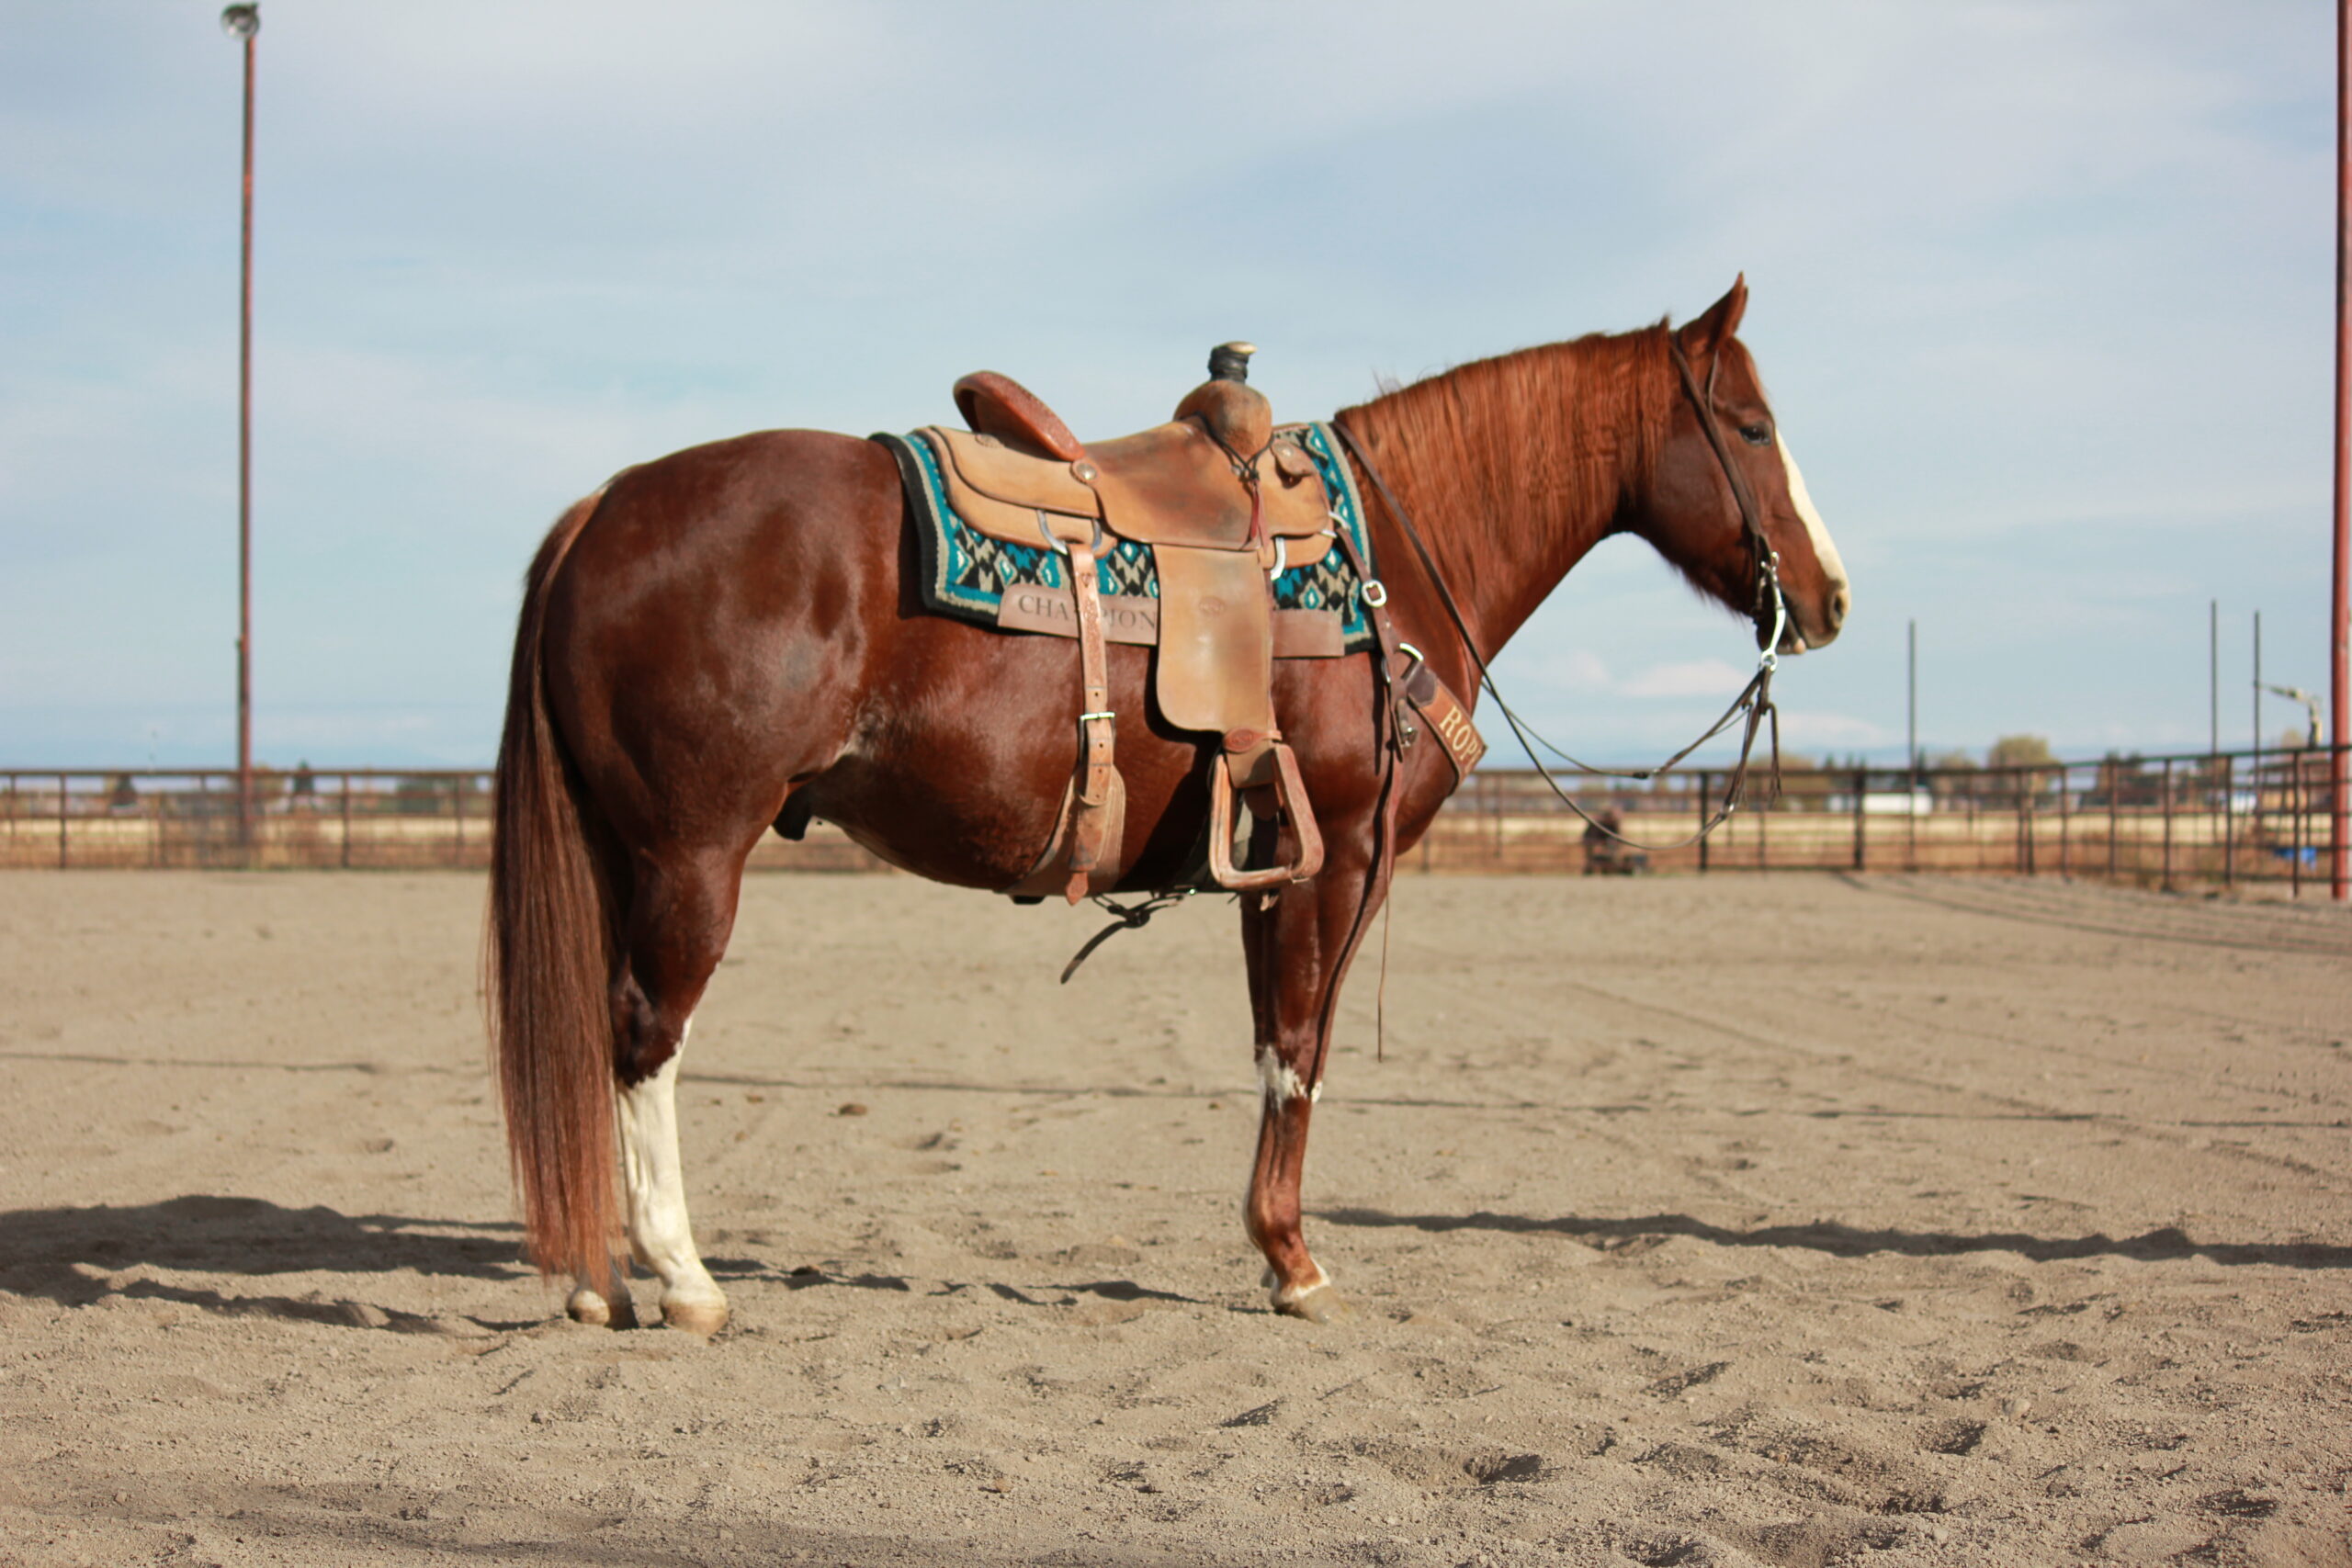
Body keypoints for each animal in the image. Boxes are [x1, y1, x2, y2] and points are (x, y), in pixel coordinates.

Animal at [487, 277, 1850, 1332]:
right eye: (1750, 423)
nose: (1831, 597)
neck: (1388, 564)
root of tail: (602, 508)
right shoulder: (1335, 850)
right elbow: (1299, 1048)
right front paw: (1294, 1262)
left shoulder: (1266, 853)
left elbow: (1271, 1042)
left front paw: (1275, 1246)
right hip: (693, 854)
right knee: (643, 1037)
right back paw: (683, 1279)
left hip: (627, 852)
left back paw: (600, 1276)